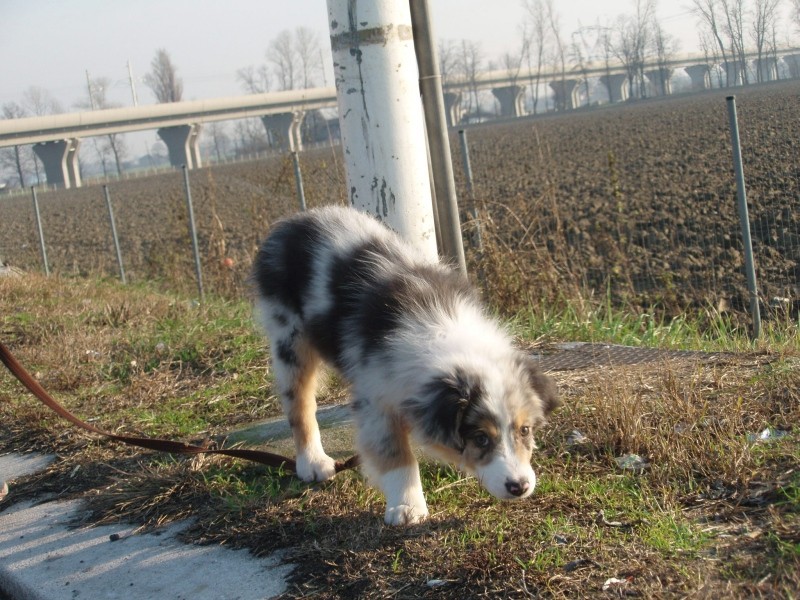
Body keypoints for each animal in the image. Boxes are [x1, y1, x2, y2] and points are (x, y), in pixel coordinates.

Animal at [253, 206, 560, 524]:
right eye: (480, 438)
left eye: (525, 430)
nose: (519, 486)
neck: (447, 334)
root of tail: (294, 221)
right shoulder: (375, 399)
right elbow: (396, 455)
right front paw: (407, 507)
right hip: (289, 339)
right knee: (299, 405)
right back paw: (312, 463)